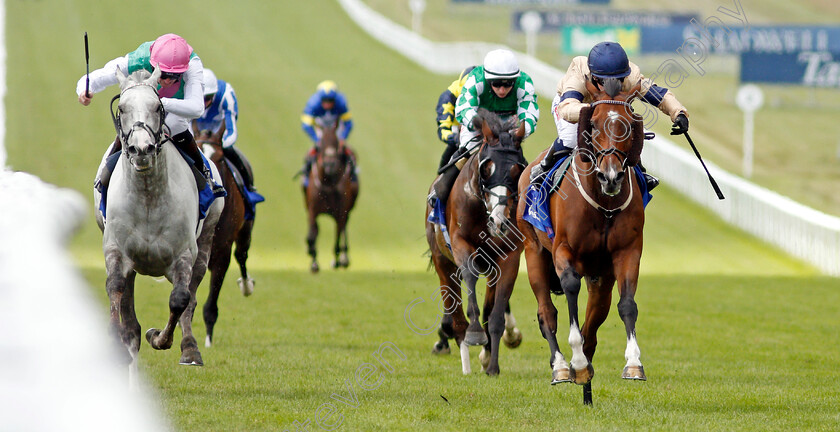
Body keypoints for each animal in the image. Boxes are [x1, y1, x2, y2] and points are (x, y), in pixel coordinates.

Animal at [93, 68, 223, 384]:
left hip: (207, 239)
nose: (141, 148)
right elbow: (115, 287)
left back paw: (189, 349)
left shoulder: (183, 254)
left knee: (191, 297)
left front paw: (160, 337)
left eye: (156, 107)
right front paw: (117, 344)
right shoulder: (116, 249)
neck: (148, 196)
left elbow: (180, 299)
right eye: (122, 108)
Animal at [199, 133, 258, 350]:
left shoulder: (222, 250)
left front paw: (208, 340)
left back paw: (247, 285)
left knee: (241, 255)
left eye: (220, 158)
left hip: (246, 229)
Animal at [304, 120, 356, 274]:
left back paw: (343, 259)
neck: (328, 182)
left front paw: (337, 261)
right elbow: (312, 235)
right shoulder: (313, 210)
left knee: (343, 229)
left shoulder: (341, 211)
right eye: (321, 143)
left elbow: (338, 236)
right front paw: (314, 262)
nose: (330, 164)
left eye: (336, 142)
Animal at [426, 109, 524, 376]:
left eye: (516, 170)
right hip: (442, 260)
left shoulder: (509, 256)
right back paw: (464, 357)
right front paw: (475, 334)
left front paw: (492, 365)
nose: (499, 220)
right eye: (486, 168)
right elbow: (469, 276)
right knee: (455, 313)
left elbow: (497, 313)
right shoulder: (460, 244)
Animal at [516, 79, 648, 404]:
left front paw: (633, 364)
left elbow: (627, 305)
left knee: (594, 323)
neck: (603, 204)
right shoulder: (564, 251)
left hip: (600, 277)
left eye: (628, 124)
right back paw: (563, 367)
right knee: (546, 313)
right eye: (595, 124)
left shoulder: (627, 252)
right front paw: (575, 362)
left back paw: (586, 385)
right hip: (534, 251)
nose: (611, 176)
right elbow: (570, 288)